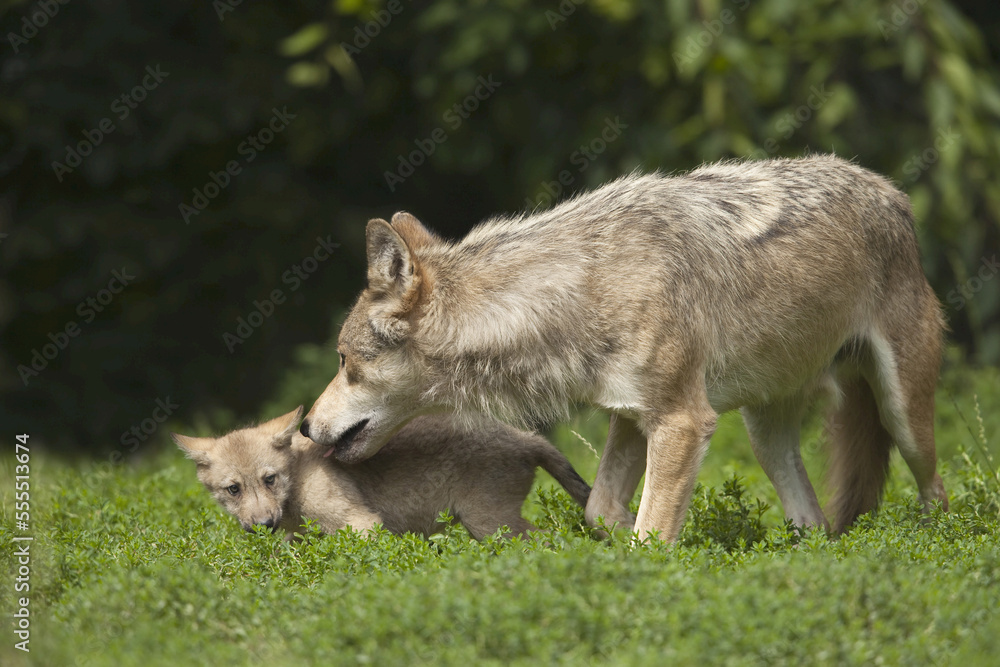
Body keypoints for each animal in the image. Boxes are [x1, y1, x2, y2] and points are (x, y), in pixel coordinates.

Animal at [173, 404, 592, 540]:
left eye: (269, 479)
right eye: (233, 489)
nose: (263, 525)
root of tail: (526, 437)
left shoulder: (362, 524)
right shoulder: (296, 540)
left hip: (488, 525)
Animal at [300, 155, 948, 544]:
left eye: (342, 361)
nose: (304, 427)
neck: (580, 291)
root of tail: (891, 191)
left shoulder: (682, 421)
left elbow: (652, 533)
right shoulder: (632, 417)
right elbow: (602, 511)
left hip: (903, 416)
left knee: (935, 490)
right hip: (765, 436)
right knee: (812, 520)